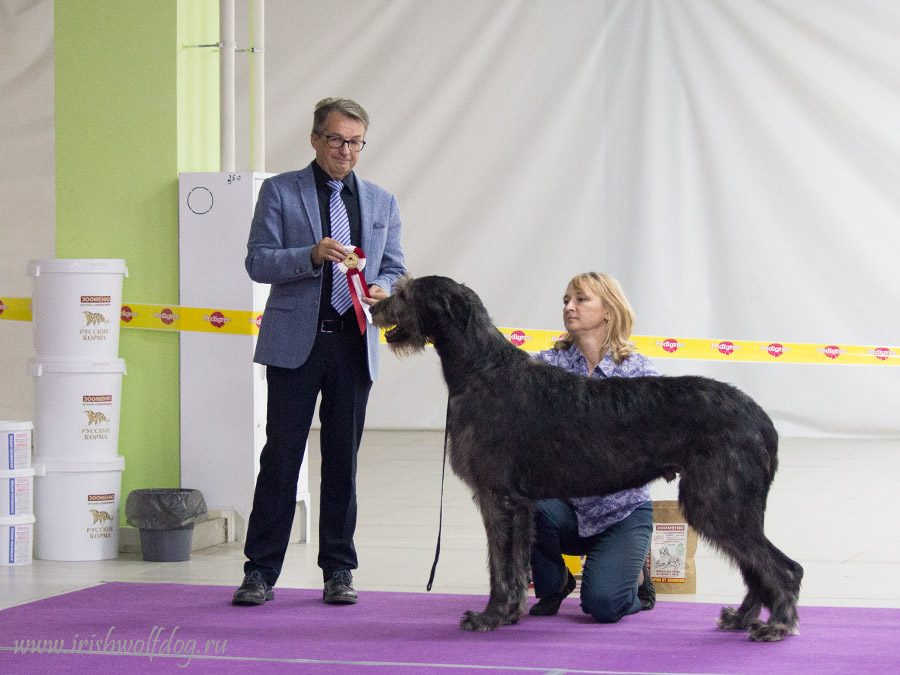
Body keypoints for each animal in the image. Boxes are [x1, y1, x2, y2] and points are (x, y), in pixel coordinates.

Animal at [370, 276, 804, 644]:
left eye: (406, 292)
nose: (374, 308)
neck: (481, 368)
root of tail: (763, 420)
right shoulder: (519, 503)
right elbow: (514, 563)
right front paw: (509, 613)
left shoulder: (497, 496)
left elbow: (499, 564)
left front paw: (488, 617)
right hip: (730, 502)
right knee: (757, 567)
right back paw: (743, 618)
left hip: (716, 500)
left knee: (783, 568)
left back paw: (777, 626)